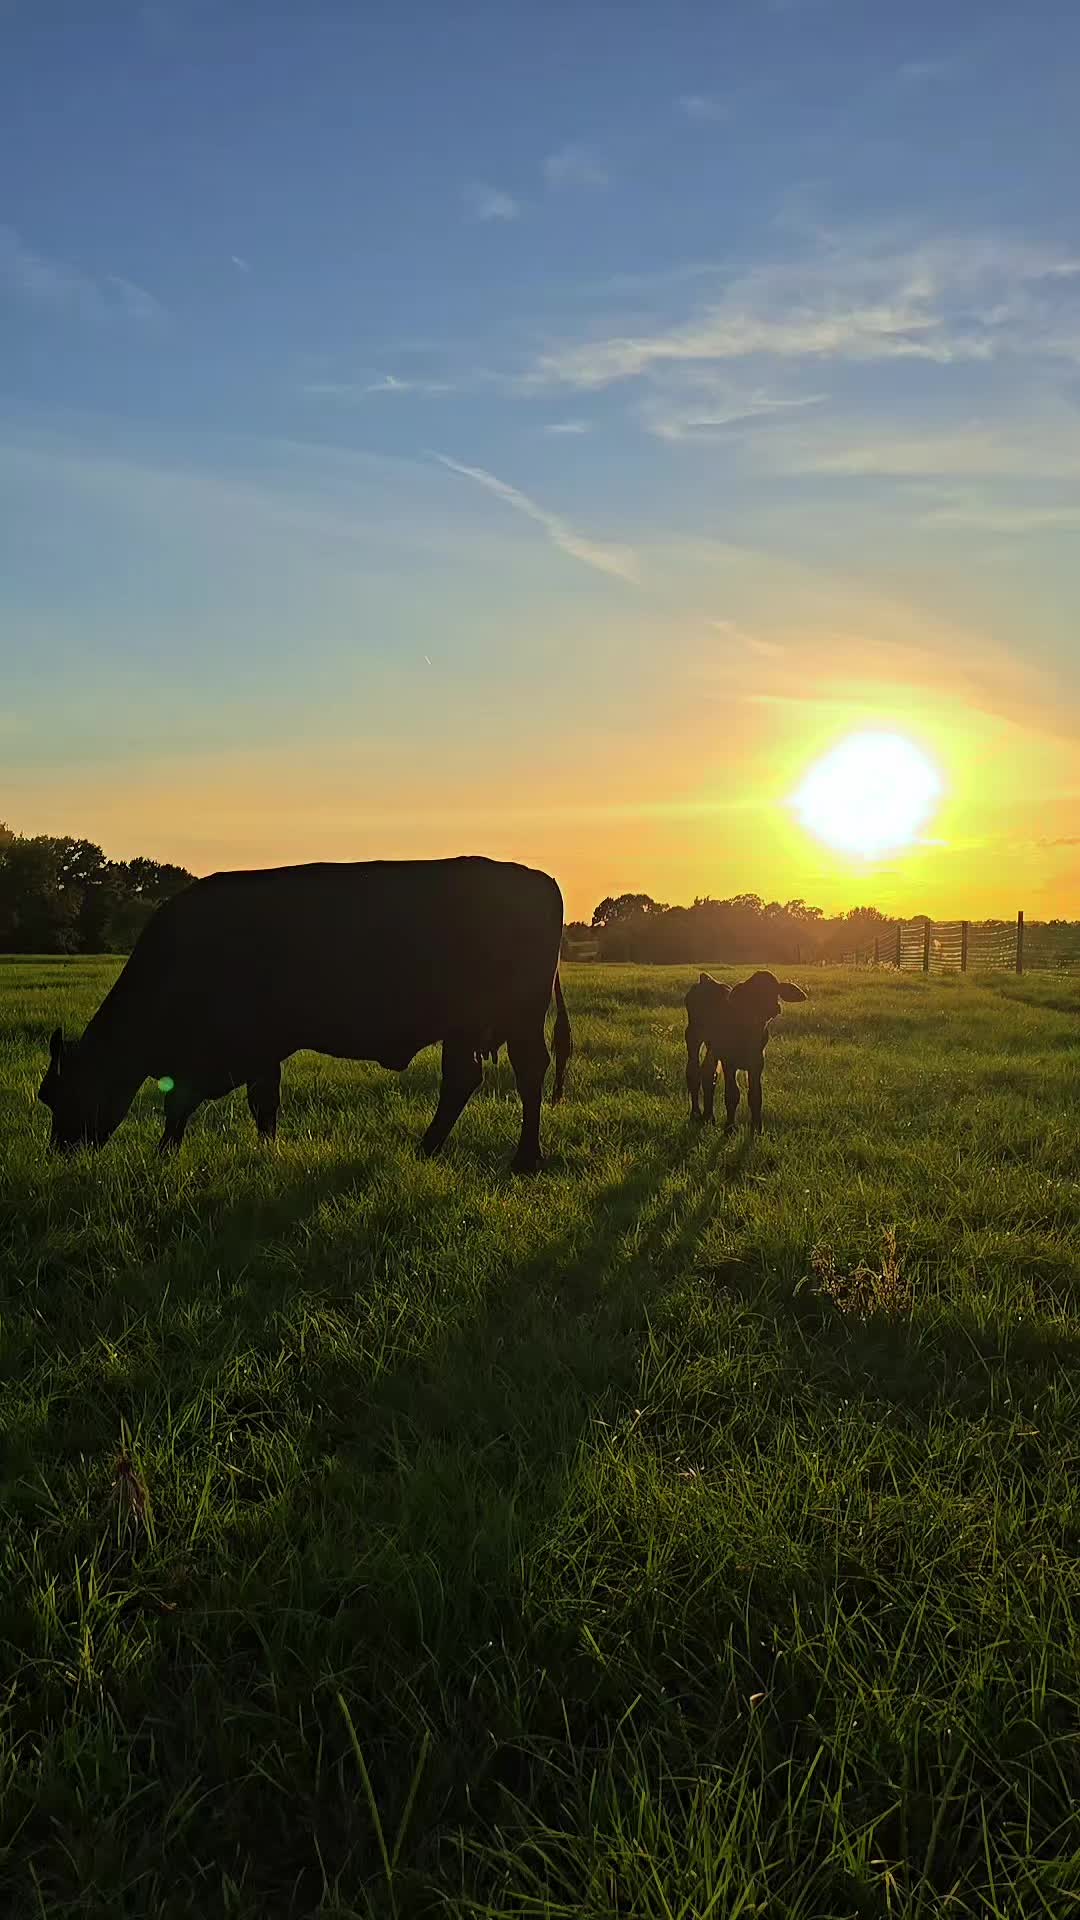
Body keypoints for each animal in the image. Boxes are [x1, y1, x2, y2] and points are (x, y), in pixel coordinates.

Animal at [38, 856, 572, 1171]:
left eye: (58, 1093)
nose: (61, 1151)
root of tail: (541, 880)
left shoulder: (233, 1050)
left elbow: (190, 1104)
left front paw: (163, 1155)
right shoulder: (257, 1052)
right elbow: (261, 1104)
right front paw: (265, 1150)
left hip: (517, 1021)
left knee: (526, 1074)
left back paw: (524, 1159)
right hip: (465, 1028)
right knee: (464, 1079)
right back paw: (426, 1150)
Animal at [684, 969, 807, 1135]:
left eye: (775, 990)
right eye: (755, 994)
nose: (773, 1007)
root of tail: (706, 979)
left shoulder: (757, 1062)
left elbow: (755, 1095)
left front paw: (757, 1128)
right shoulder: (729, 1062)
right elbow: (732, 1093)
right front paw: (730, 1127)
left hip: (712, 1048)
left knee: (708, 1074)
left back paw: (708, 1117)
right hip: (692, 1035)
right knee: (693, 1072)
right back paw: (696, 1114)